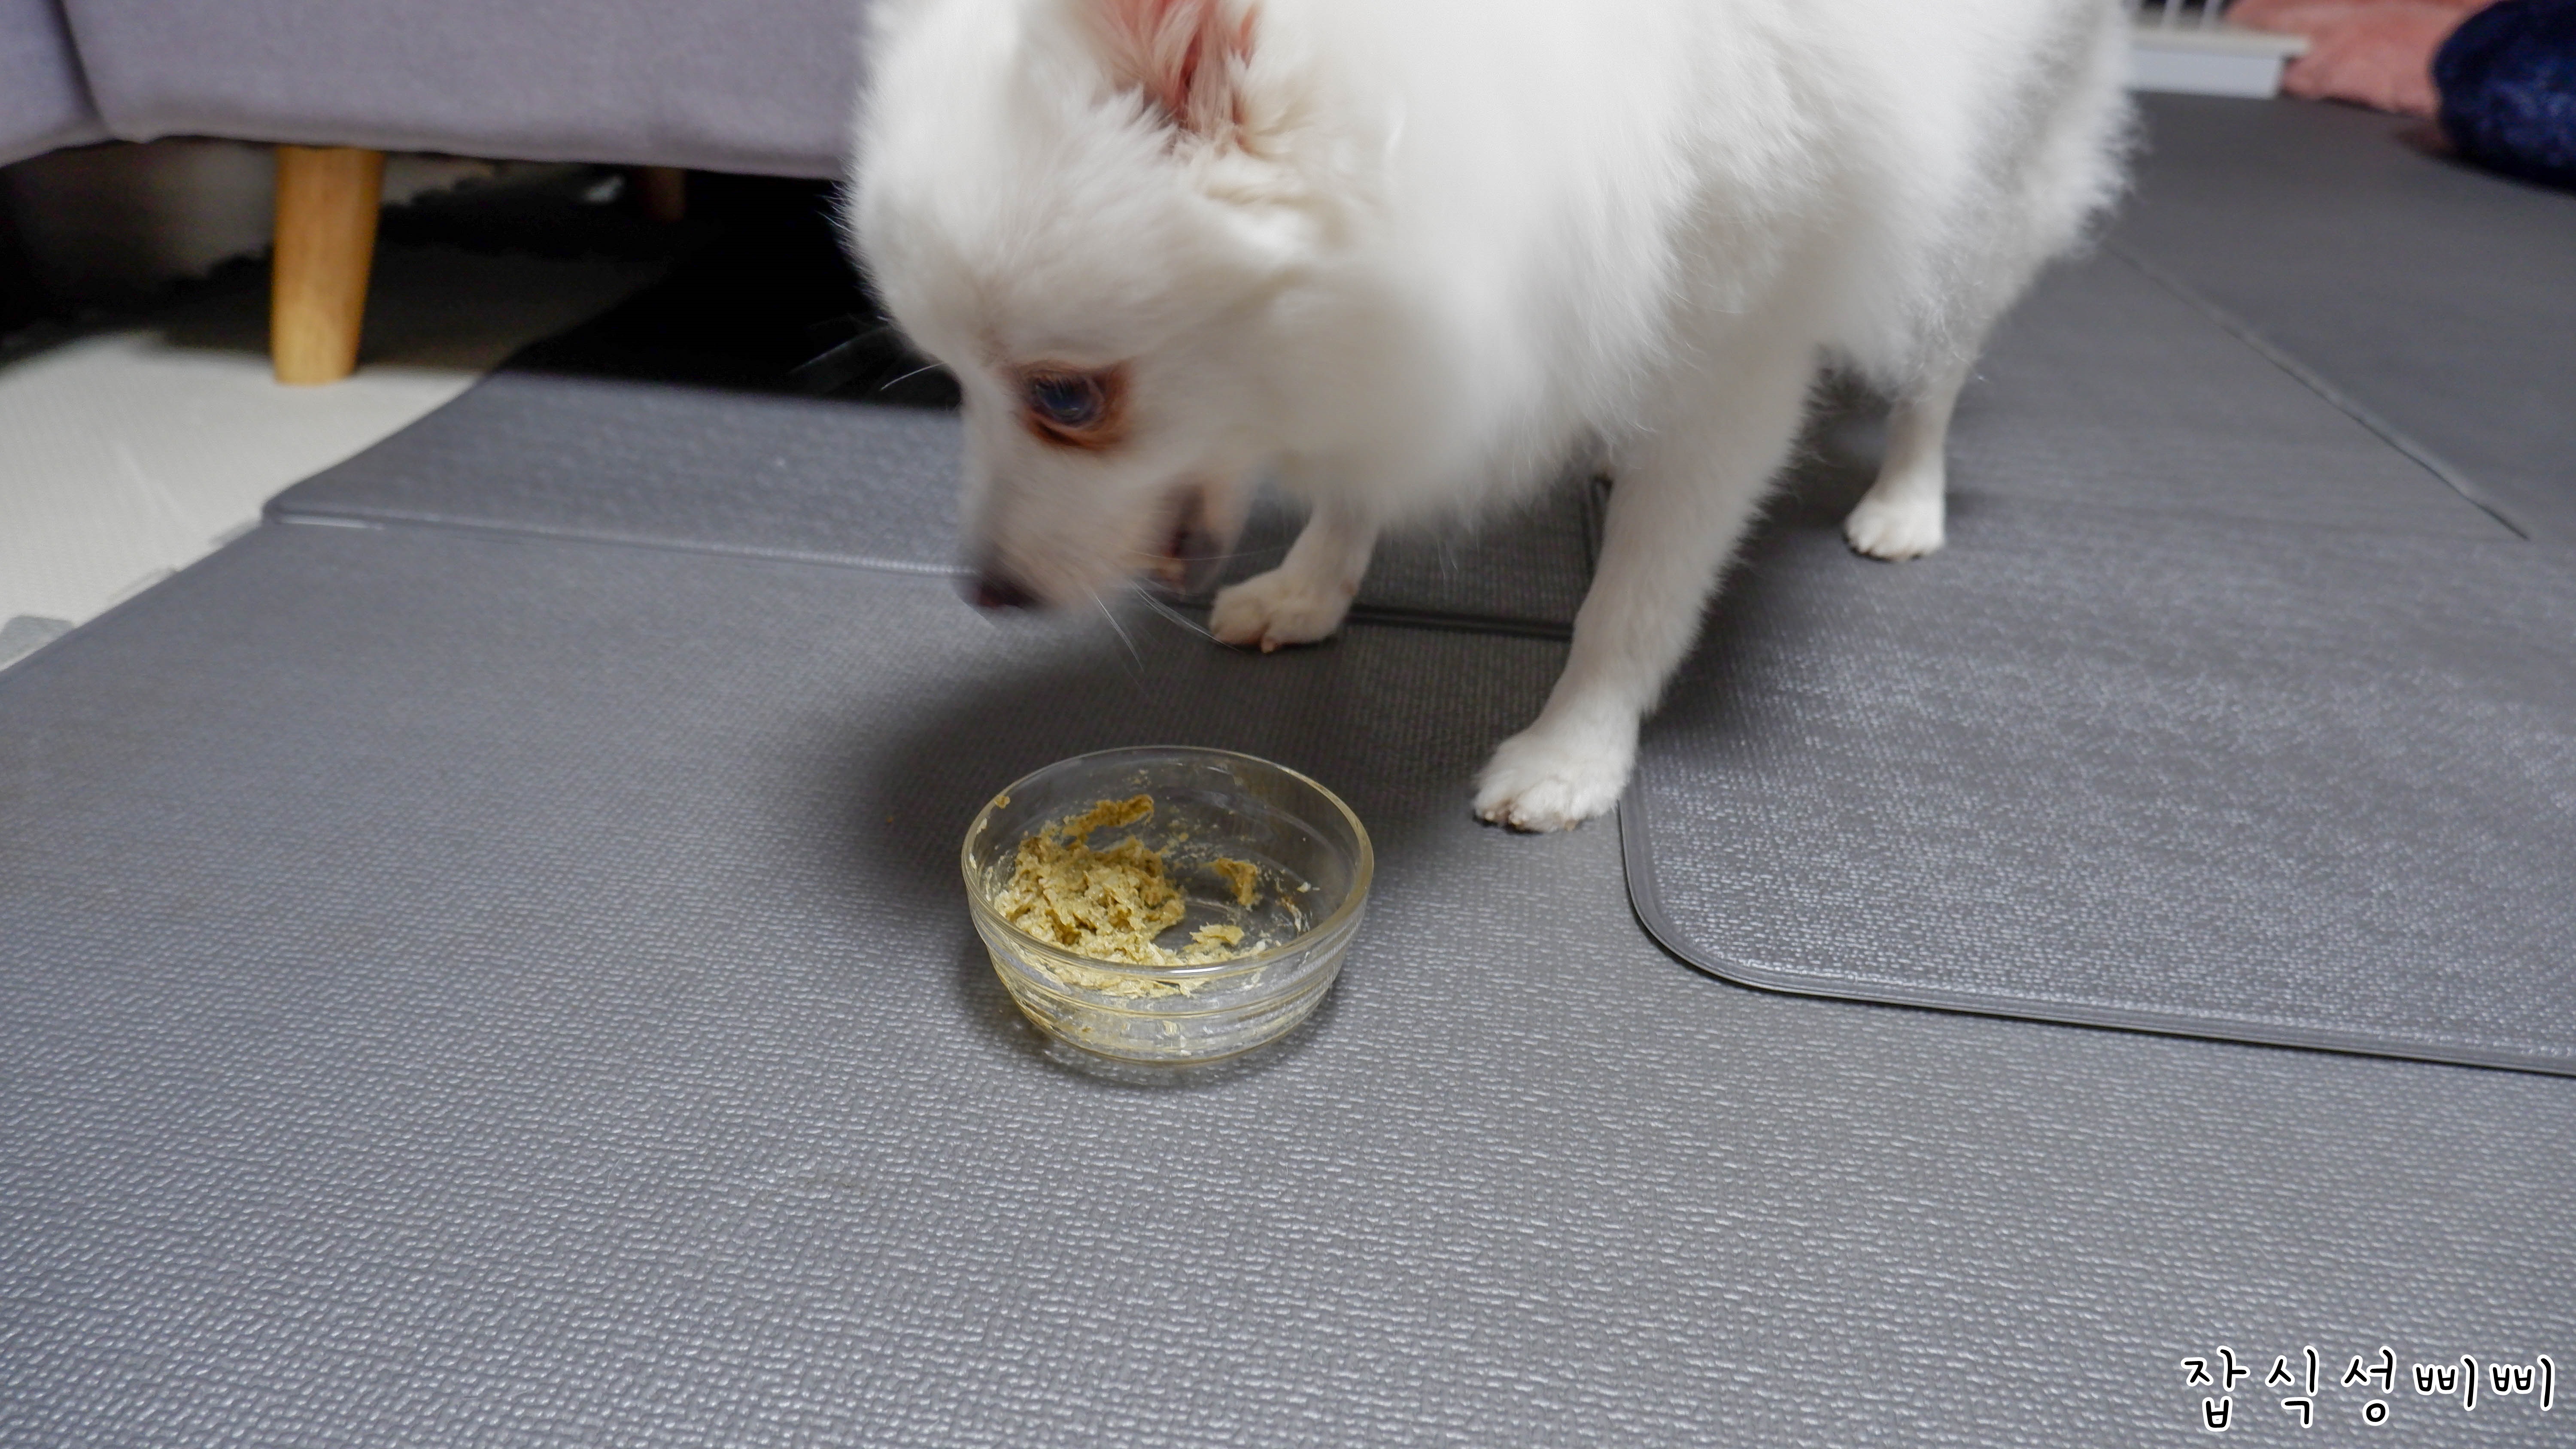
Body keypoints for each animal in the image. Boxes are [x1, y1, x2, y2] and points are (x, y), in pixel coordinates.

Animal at [849, 0, 2131, 830]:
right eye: (950, 382)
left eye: (1066, 398)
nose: (984, 589)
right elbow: (1361, 472)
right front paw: (1314, 586)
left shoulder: (1735, 360)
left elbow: (1635, 602)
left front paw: (1575, 752)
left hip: (1986, 206)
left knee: (1938, 368)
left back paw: (1906, 500)